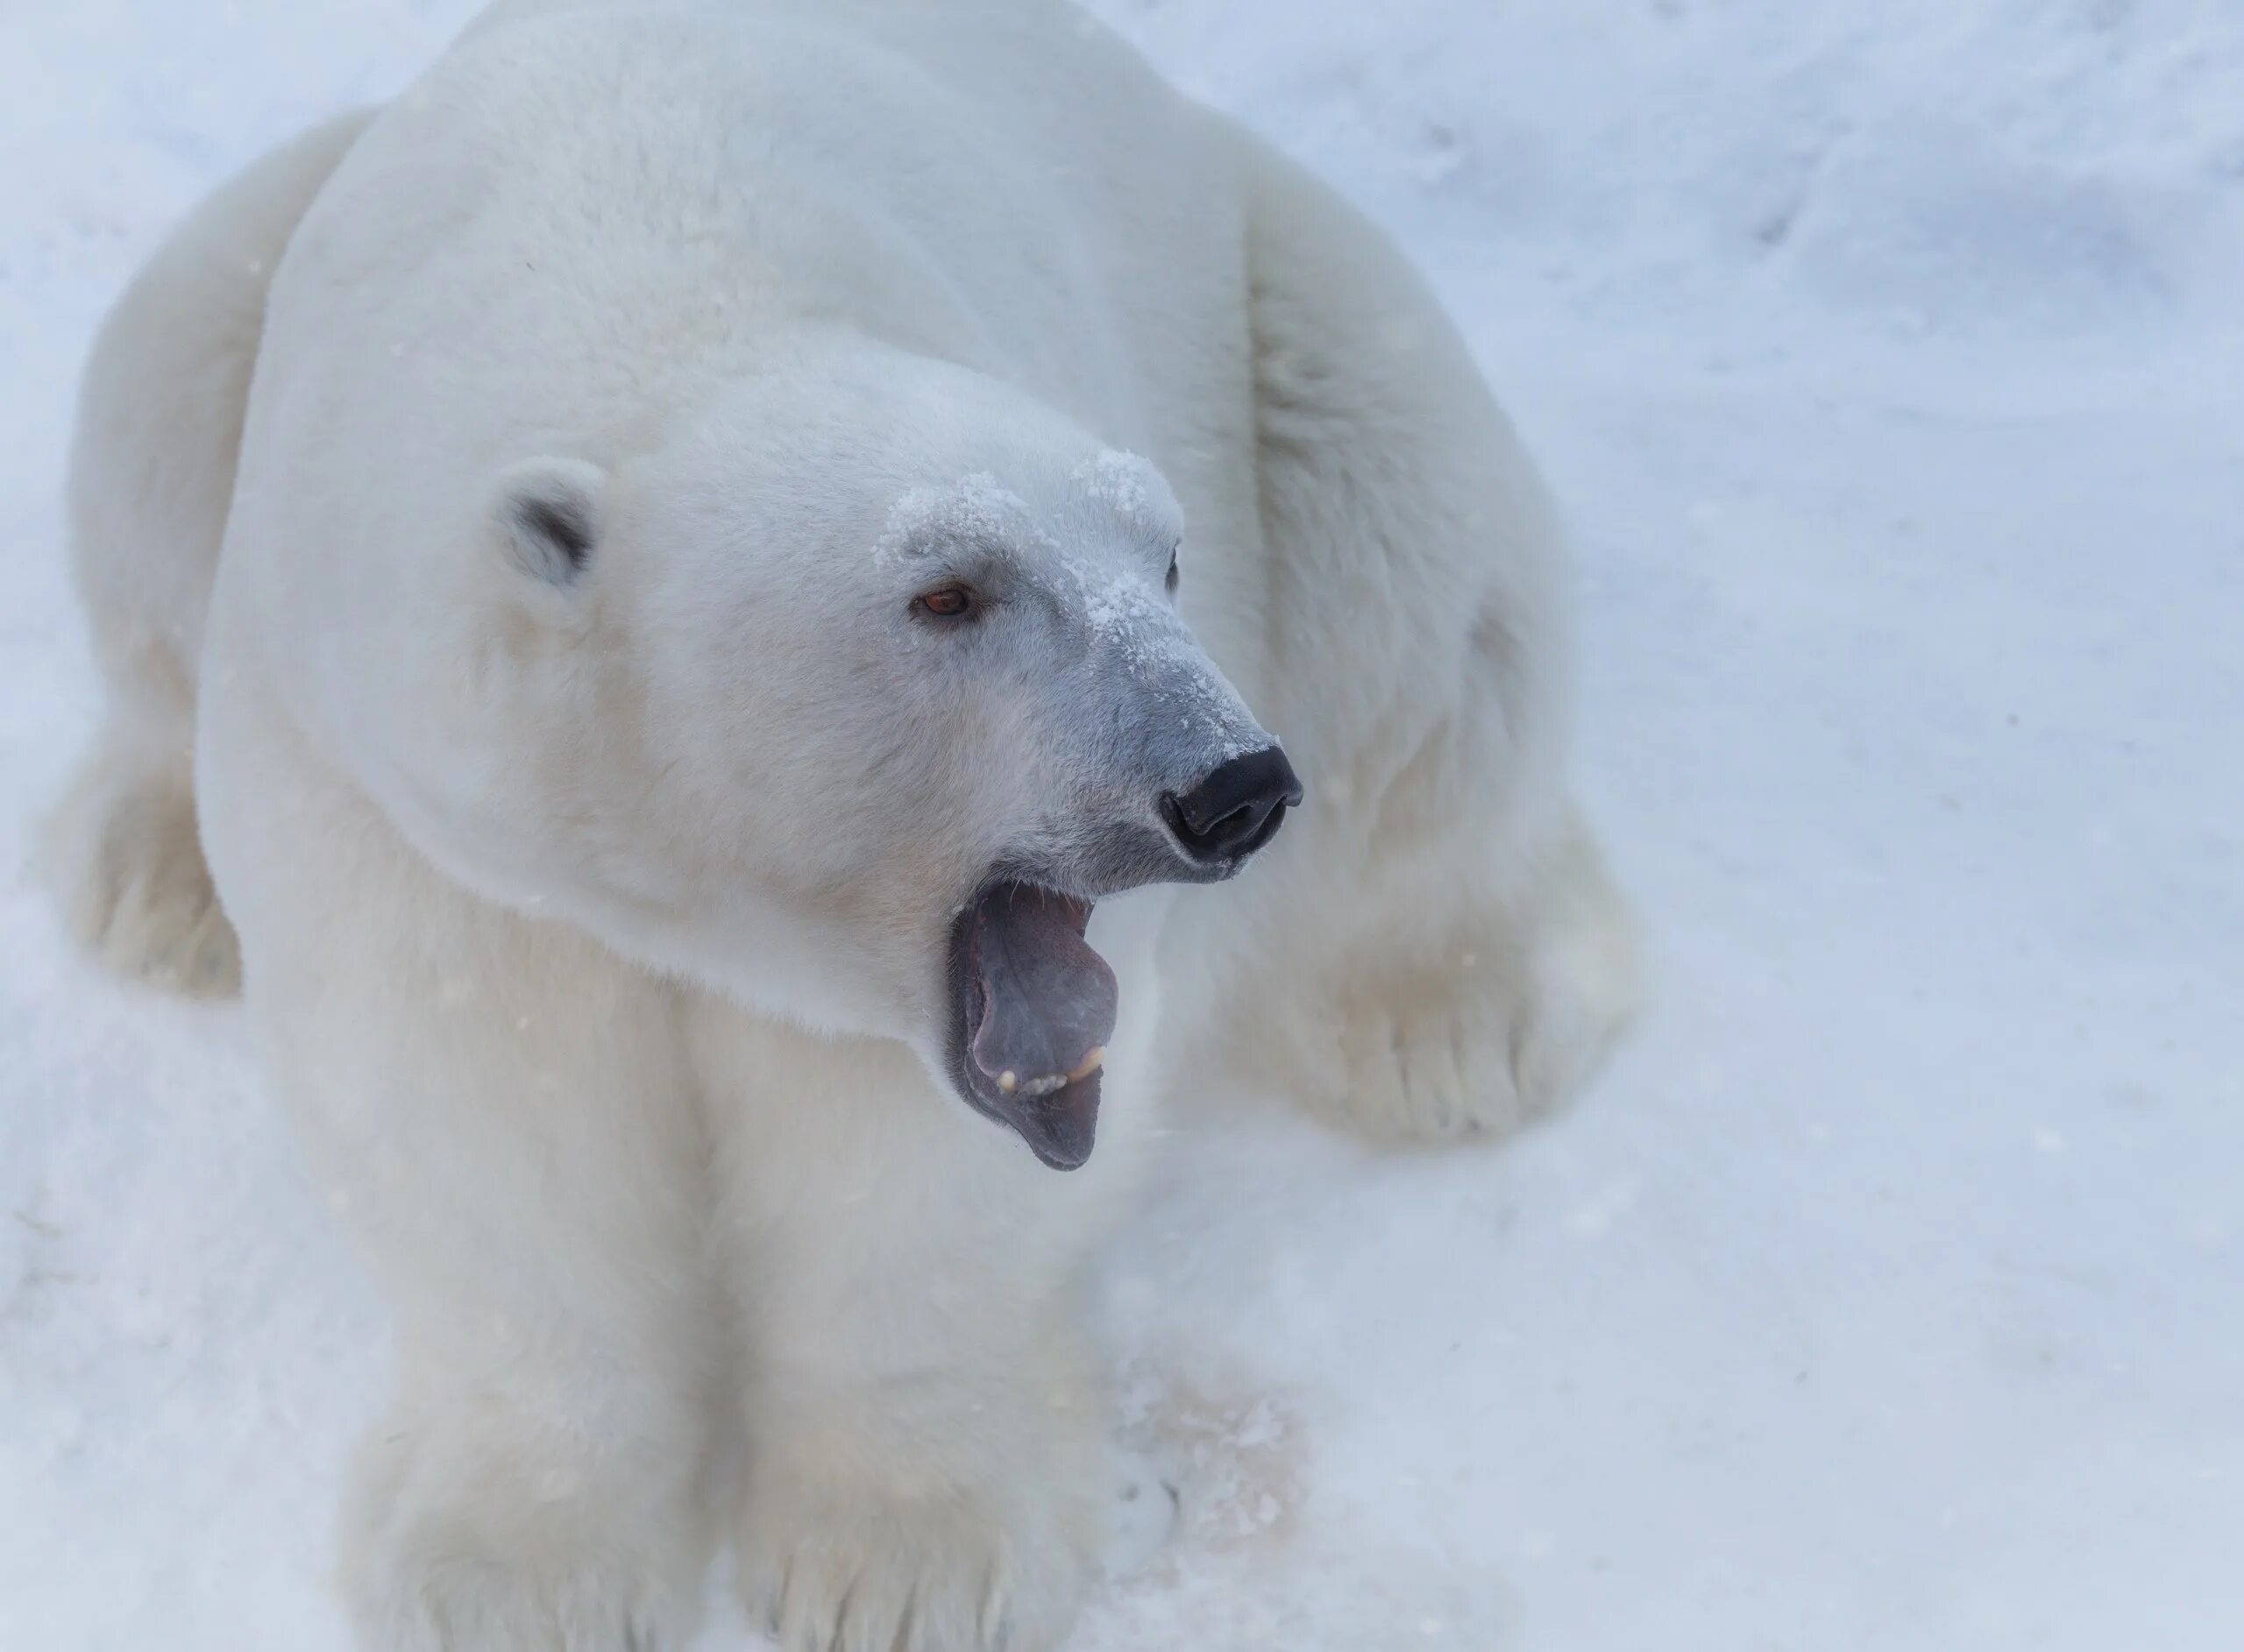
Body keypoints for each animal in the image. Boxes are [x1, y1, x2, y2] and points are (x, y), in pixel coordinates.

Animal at [48, 3, 1633, 1652]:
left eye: (1166, 559)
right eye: (946, 591)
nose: (1230, 785)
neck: (677, 298)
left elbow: (909, 1186)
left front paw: (904, 1571)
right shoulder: (395, 788)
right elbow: (477, 1109)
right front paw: (524, 1583)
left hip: (1280, 293)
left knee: (1417, 566)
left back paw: (1455, 1024)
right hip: (238, 281)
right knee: (156, 410)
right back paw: (156, 886)